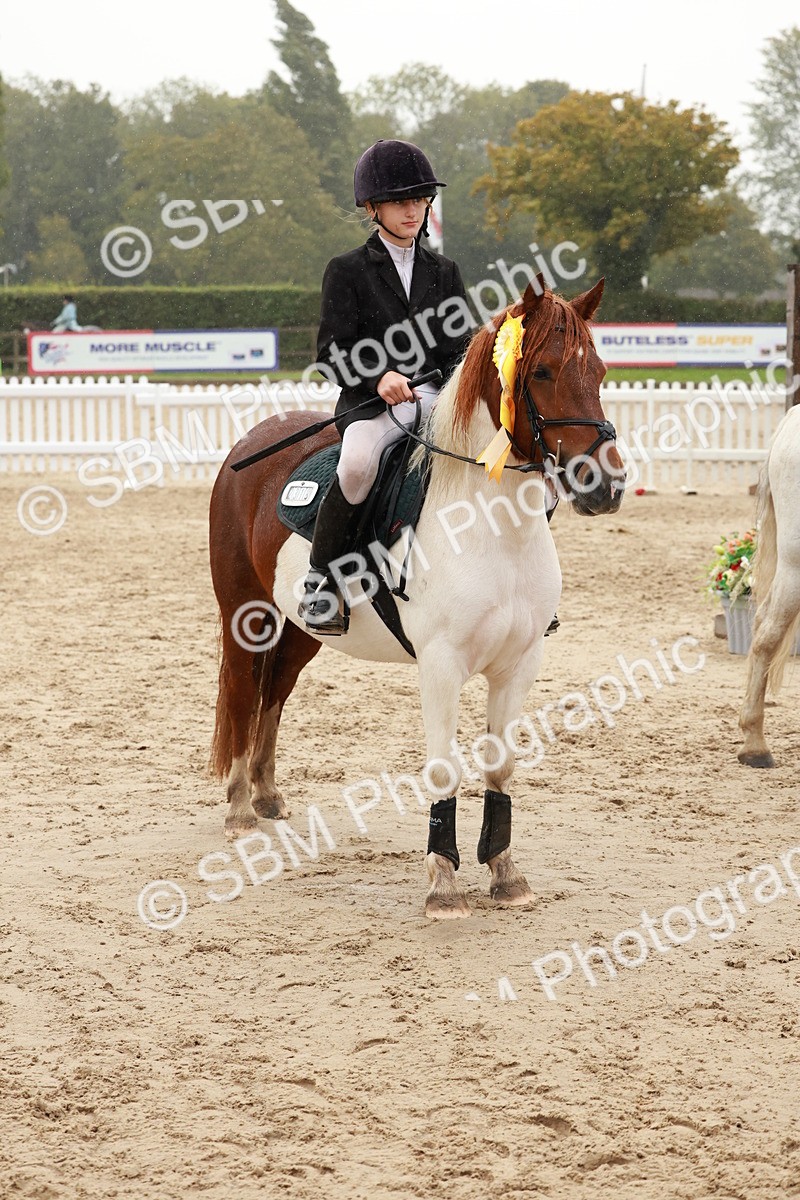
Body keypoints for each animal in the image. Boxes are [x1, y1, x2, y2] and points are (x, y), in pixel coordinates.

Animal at [208, 278, 626, 918]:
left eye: (599, 371)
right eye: (544, 372)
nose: (605, 486)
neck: (491, 527)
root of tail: (250, 443)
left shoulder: (519, 664)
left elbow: (501, 766)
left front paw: (506, 874)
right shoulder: (441, 664)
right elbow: (443, 769)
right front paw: (444, 885)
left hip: (300, 632)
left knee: (273, 694)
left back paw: (268, 795)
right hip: (244, 616)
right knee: (239, 692)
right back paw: (237, 807)